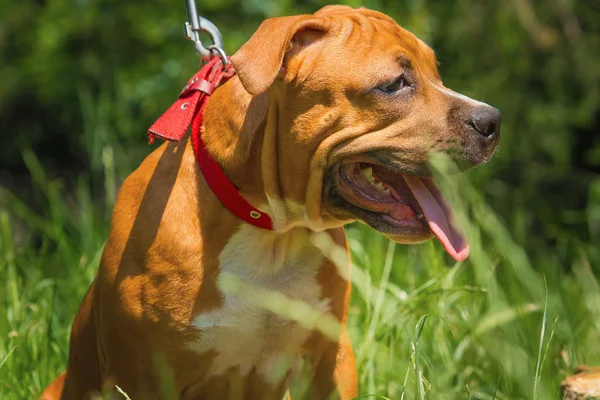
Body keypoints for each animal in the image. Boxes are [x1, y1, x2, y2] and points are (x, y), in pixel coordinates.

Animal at [42, 3, 500, 400]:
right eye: (393, 84)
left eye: (437, 73)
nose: (492, 120)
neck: (271, 232)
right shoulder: (143, 375)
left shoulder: (330, 362)